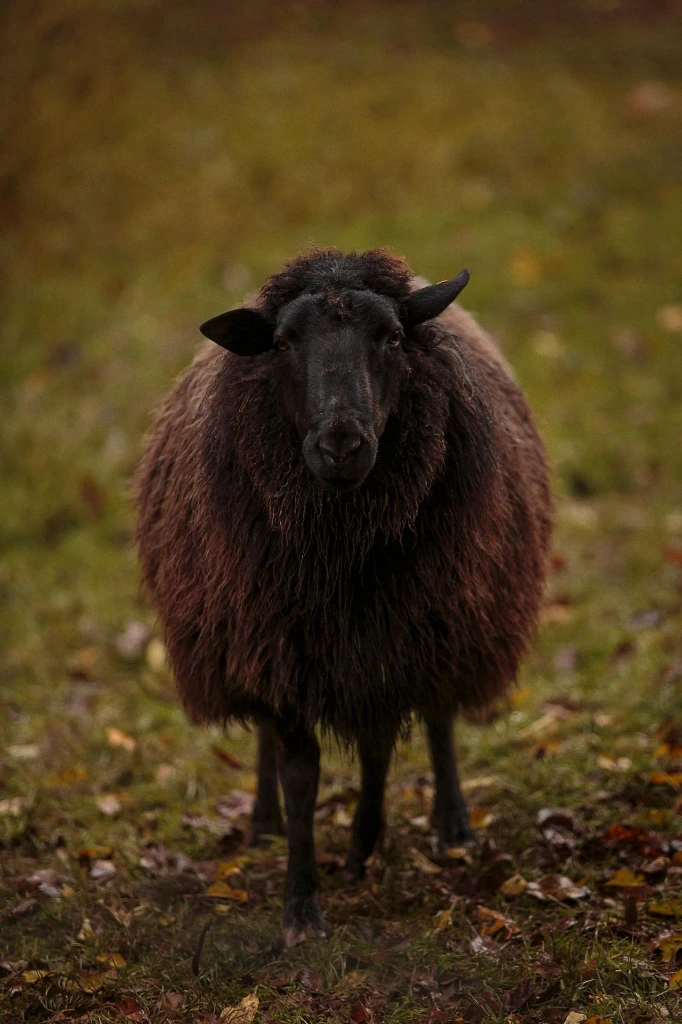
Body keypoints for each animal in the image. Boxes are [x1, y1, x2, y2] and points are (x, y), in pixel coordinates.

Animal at [135, 248, 552, 946]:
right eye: (281, 342)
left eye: (392, 337)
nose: (341, 444)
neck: (341, 554)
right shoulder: (275, 646)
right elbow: (301, 775)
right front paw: (301, 905)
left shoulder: (392, 640)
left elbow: (381, 746)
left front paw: (362, 848)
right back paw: (264, 823)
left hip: (451, 621)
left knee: (437, 717)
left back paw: (450, 825)